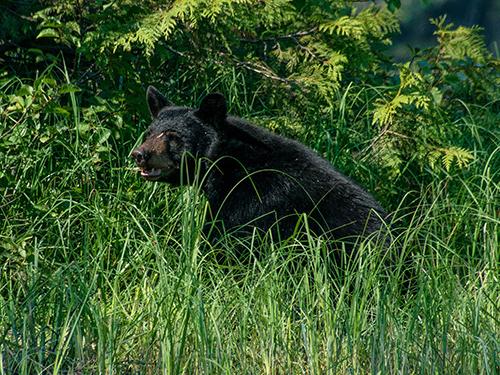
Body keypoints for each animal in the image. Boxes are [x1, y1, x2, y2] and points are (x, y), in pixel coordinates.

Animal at [132, 87, 386, 247]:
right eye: (148, 134)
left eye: (173, 136)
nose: (139, 155)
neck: (226, 162)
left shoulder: (253, 198)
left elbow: (228, 239)